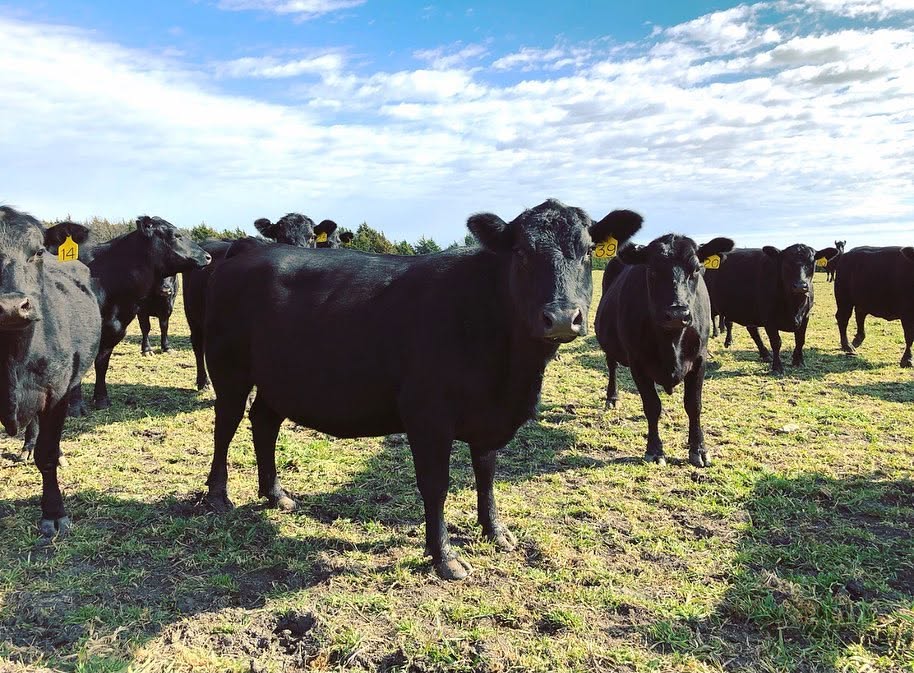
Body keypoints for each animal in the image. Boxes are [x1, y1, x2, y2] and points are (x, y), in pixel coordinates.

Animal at [202, 199, 642, 580]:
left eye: (587, 251)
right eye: (520, 252)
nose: (562, 317)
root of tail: (248, 248)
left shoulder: (488, 416)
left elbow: (486, 475)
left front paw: (495, 531)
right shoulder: (427, 415)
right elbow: (436, 484)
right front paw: (444, 557)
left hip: (277, 378)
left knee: (264, 421)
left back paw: (275, 494)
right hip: (228, 367)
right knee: (226, 424)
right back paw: (218, 497)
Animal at [596, 235, 733, 467]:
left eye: (696, 269)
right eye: (651, 270)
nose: (677, 314)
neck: (671, 341)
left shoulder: (699, 359)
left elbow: (693, 405)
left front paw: (698, 449)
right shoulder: (637, 363)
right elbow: (652, 406)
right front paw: (654, 450)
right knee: (612, 365)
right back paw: (612, 398)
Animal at [709, 245, 837, 374]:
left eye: (811, 263)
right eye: (786, 263)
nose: (801, 286)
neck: (794, 305)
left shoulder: (805, 316)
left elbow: (800, 339)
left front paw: (798, 361)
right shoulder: (769, 319)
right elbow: (776, 342)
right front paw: (777, 367)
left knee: (748, 328)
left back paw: (763, 353)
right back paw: (718, 336)